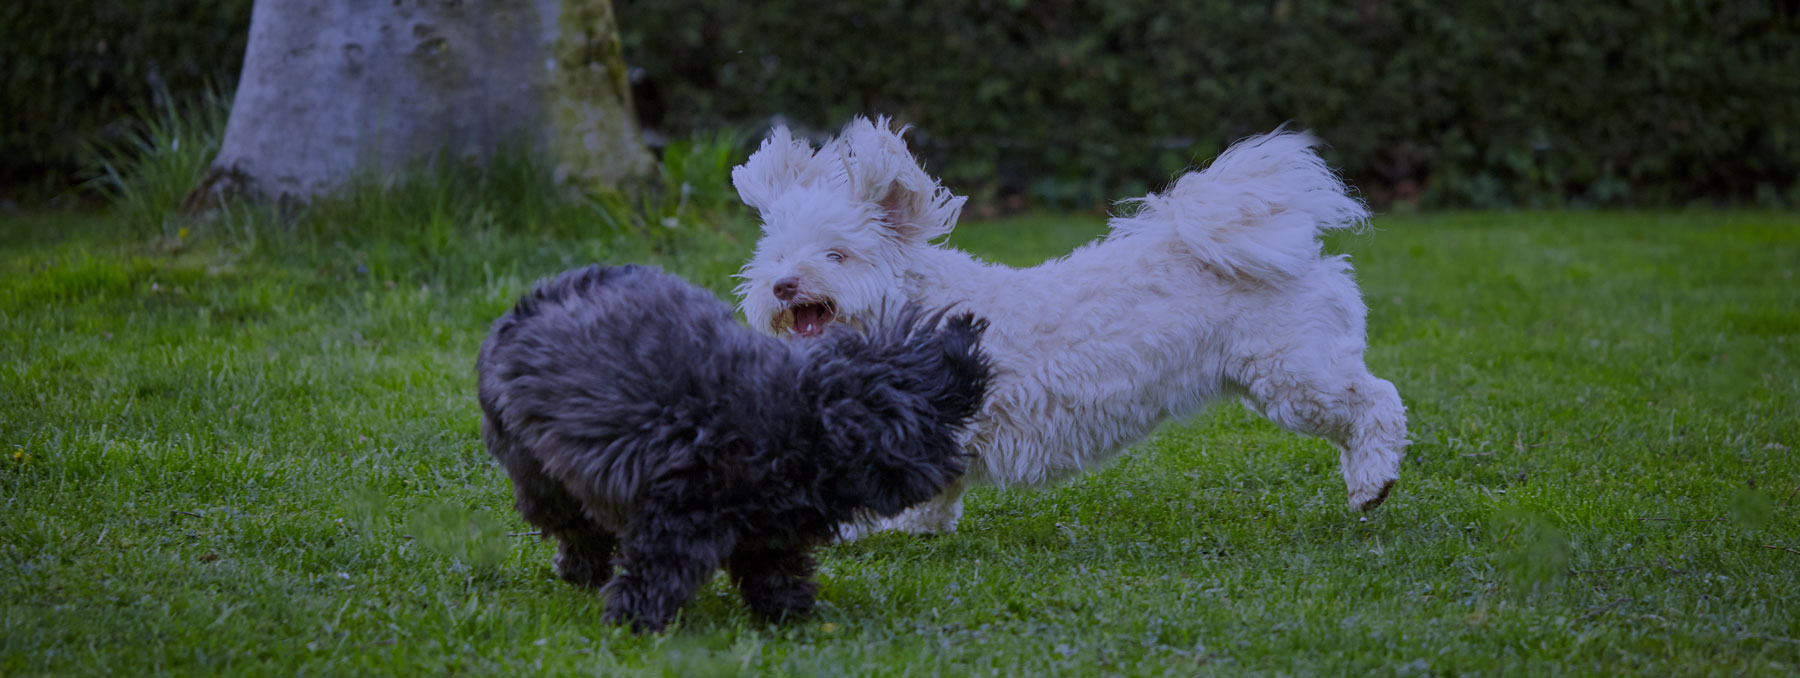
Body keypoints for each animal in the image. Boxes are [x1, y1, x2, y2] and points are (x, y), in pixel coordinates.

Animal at [478, 262, 993, 629]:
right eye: (938, 410)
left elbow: (775, 568)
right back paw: (581, 570)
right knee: (574, 526)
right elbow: (660, 571)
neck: (806, 418)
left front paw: (788, 612)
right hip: (538, 475)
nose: (957, 458)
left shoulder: (767, 527)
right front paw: (635, 621)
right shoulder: (676, 516)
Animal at [730, 118, 1404, 535]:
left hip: (1295, 372)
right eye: (776, 257)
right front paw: (915, 528)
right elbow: (928, 493)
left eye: (836, 255)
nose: (784, 285)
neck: (914, 312)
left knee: (1378, 401)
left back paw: (1372, 483)